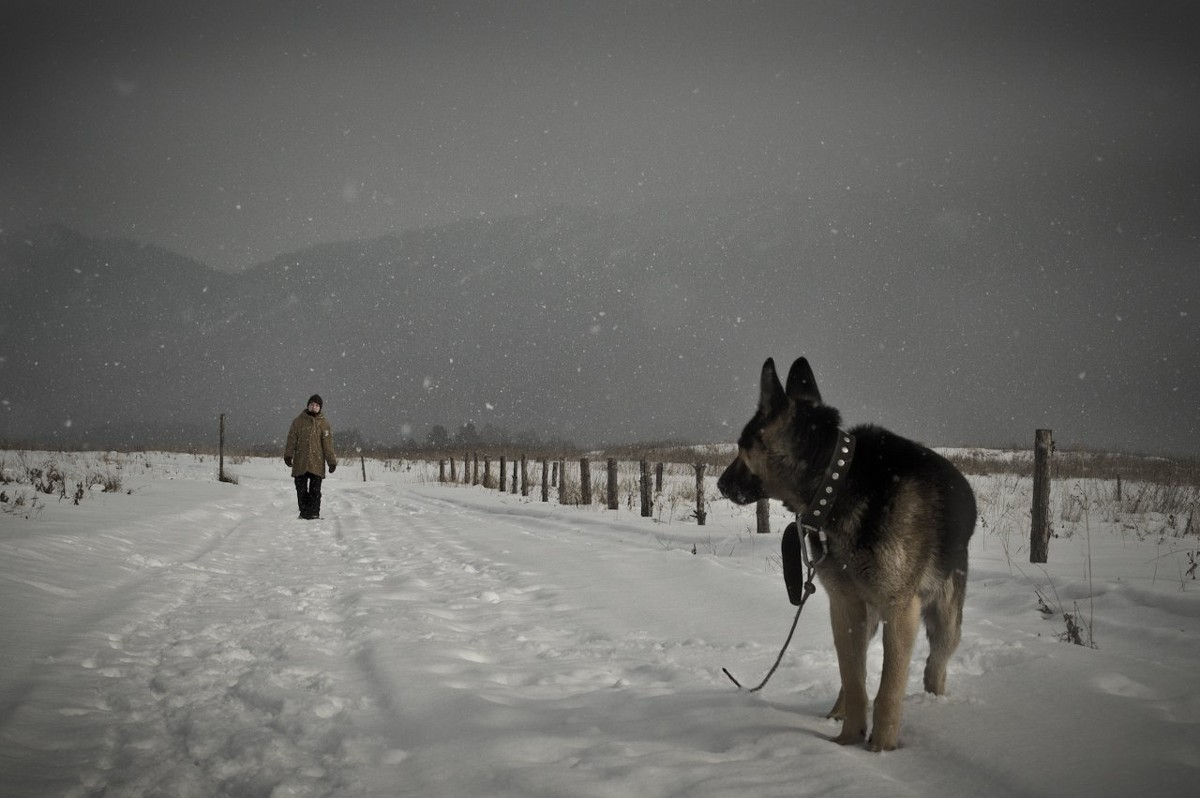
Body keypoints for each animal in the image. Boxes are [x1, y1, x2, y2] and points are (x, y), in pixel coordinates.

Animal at [715, 357, 969, 748]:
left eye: (742, 446)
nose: (720, 484)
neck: (836, 481)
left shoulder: (900, 610)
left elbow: (888, 689)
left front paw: (881, 749)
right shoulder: (845, 605)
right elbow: (854, 679)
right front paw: (846, 742)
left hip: (944, 620)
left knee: (935, 666)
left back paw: (934, 700)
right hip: (866, 615)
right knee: (855, 674)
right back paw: (837, 712)